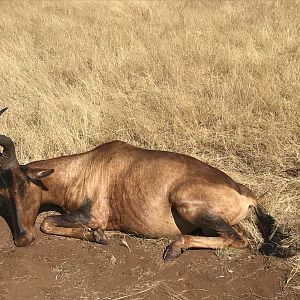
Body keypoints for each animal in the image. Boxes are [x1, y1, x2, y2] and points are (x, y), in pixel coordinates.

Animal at [0, 108, 290, 260]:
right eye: (4, 193)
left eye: (23, 185)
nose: (22, 238)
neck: (88, 165)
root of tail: (245, 192)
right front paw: (96, 236)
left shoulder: (94, 215)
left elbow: (47, 222)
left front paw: (98, 235)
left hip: (187, 204)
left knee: (241, 241)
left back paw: (174, 248)